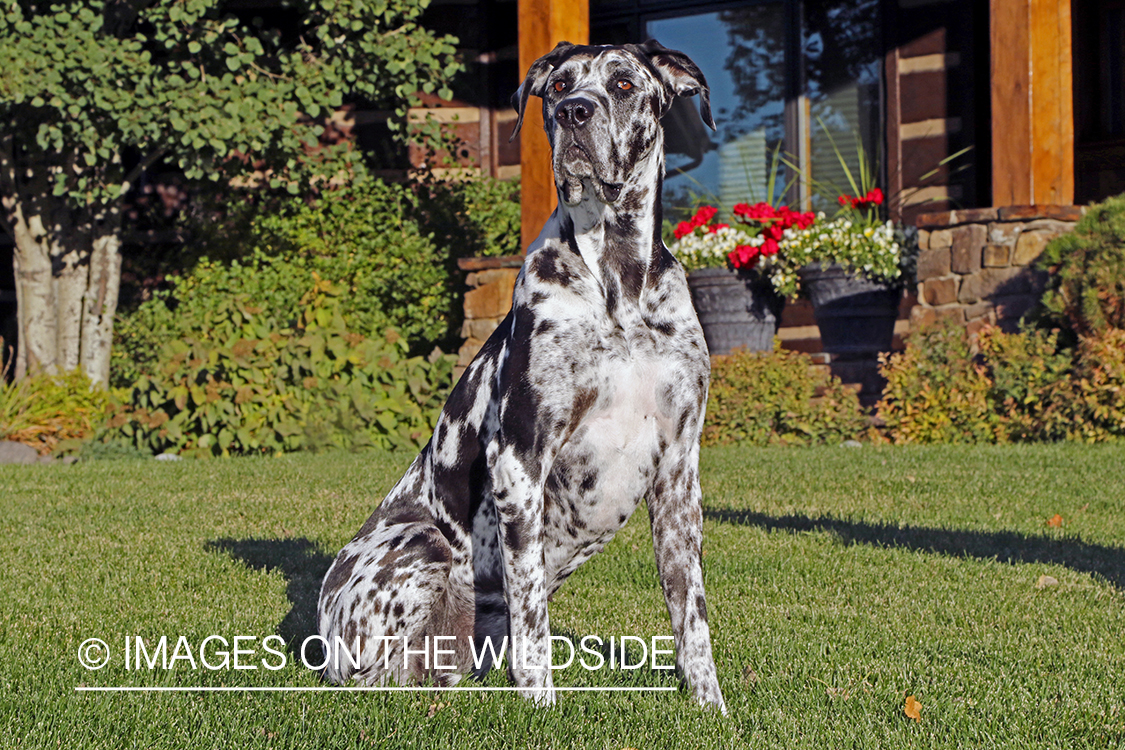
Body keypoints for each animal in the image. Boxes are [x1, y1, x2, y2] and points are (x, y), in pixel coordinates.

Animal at [315, 38, 729, 715]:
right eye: (558, 86)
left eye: (622, 83)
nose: (575, 113)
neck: (618, 286)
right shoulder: (520, 458)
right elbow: (531, 617)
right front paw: (541, 708)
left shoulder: (677, 473)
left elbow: (690, 614)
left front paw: (709, 707)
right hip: (422, 546)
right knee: (372, 681)